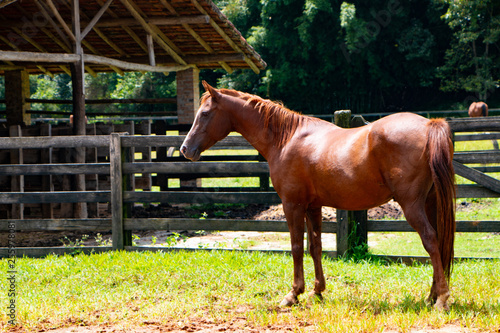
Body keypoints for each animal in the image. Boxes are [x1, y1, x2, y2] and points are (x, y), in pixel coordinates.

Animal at [181, 81, 458, 310]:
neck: (286, 138)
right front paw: (317, 291)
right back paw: (431, 296)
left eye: (204, 113)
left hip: (412, 206)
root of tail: (429, 124)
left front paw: (293, 294)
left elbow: (295, 247)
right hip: (430, 203)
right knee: (439, 242)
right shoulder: (313, 207)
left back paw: (441, 299)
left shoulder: (292, 205)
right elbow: (315, 247)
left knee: (431, 240)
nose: (185, 149)